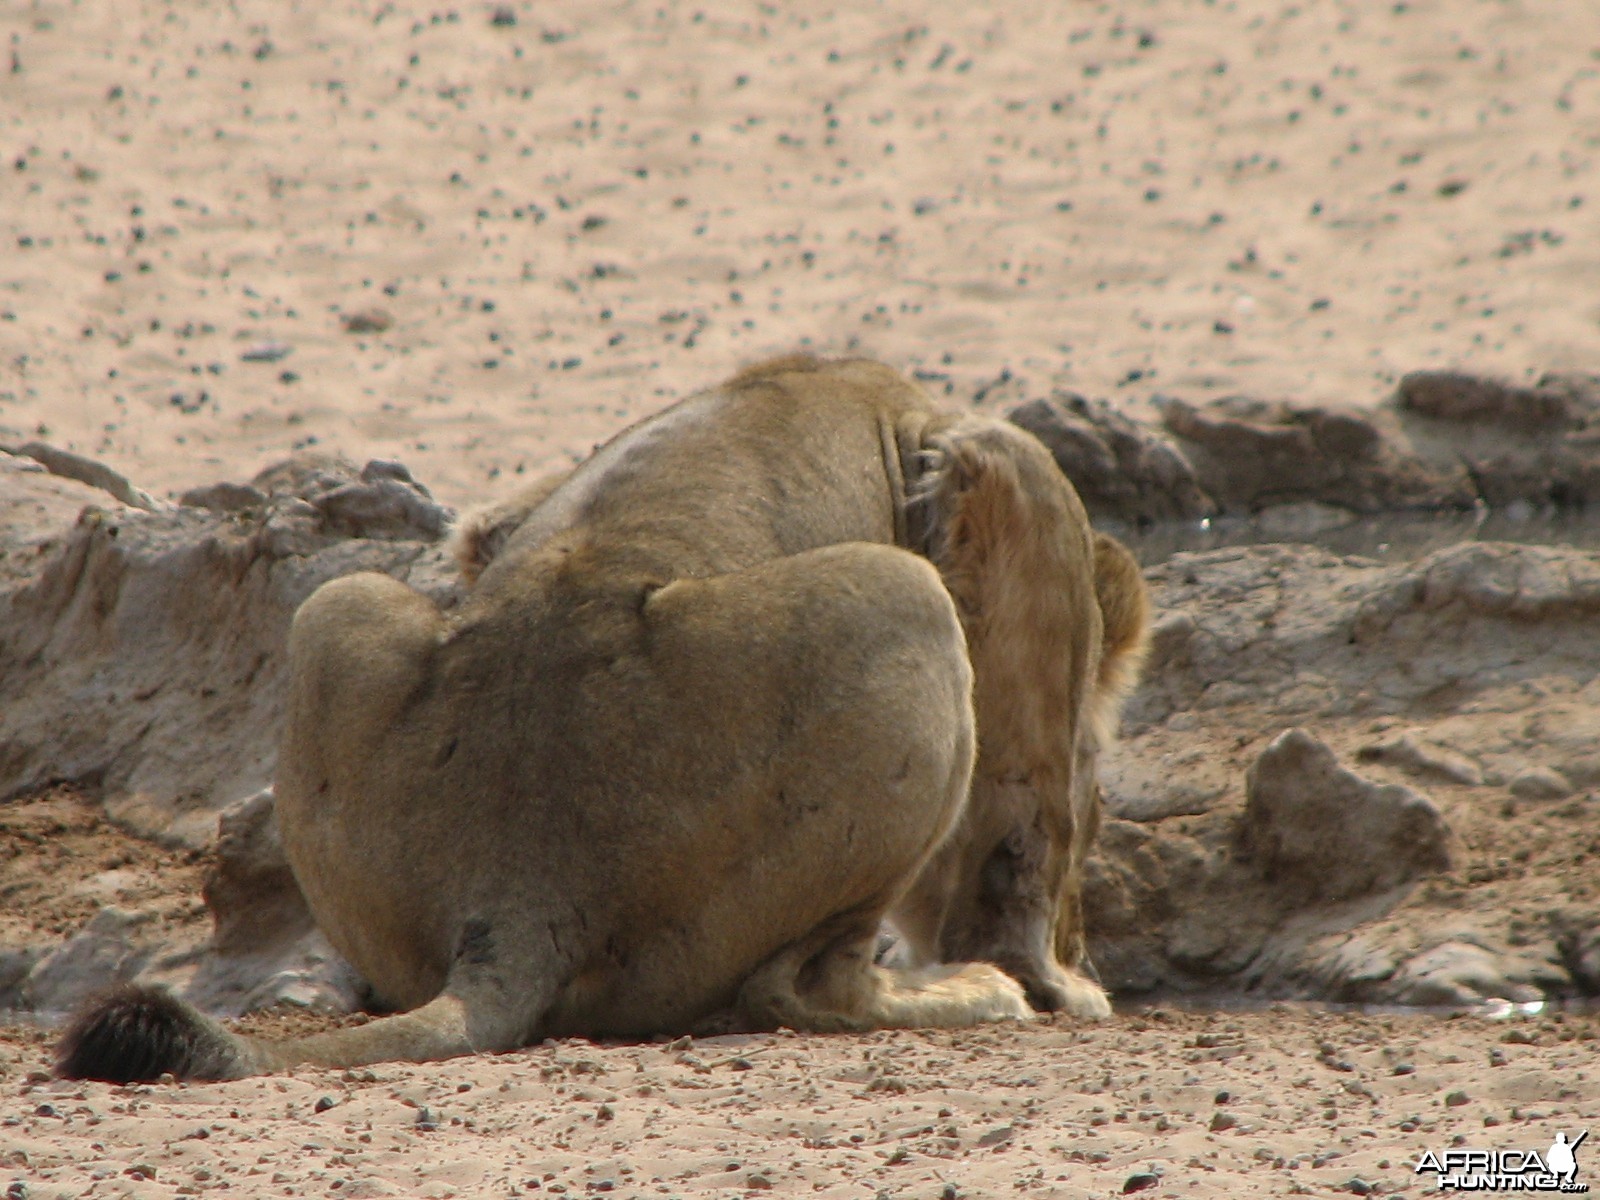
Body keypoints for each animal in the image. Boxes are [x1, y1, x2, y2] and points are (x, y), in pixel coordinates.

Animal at [53, 355, 1152, 1081]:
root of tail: (517, 884)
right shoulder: (1012, 499)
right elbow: (1030, 809)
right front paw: (1059, 981)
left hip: (334, 612)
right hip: (900, 601)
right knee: (801, 990)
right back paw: (969, 992)